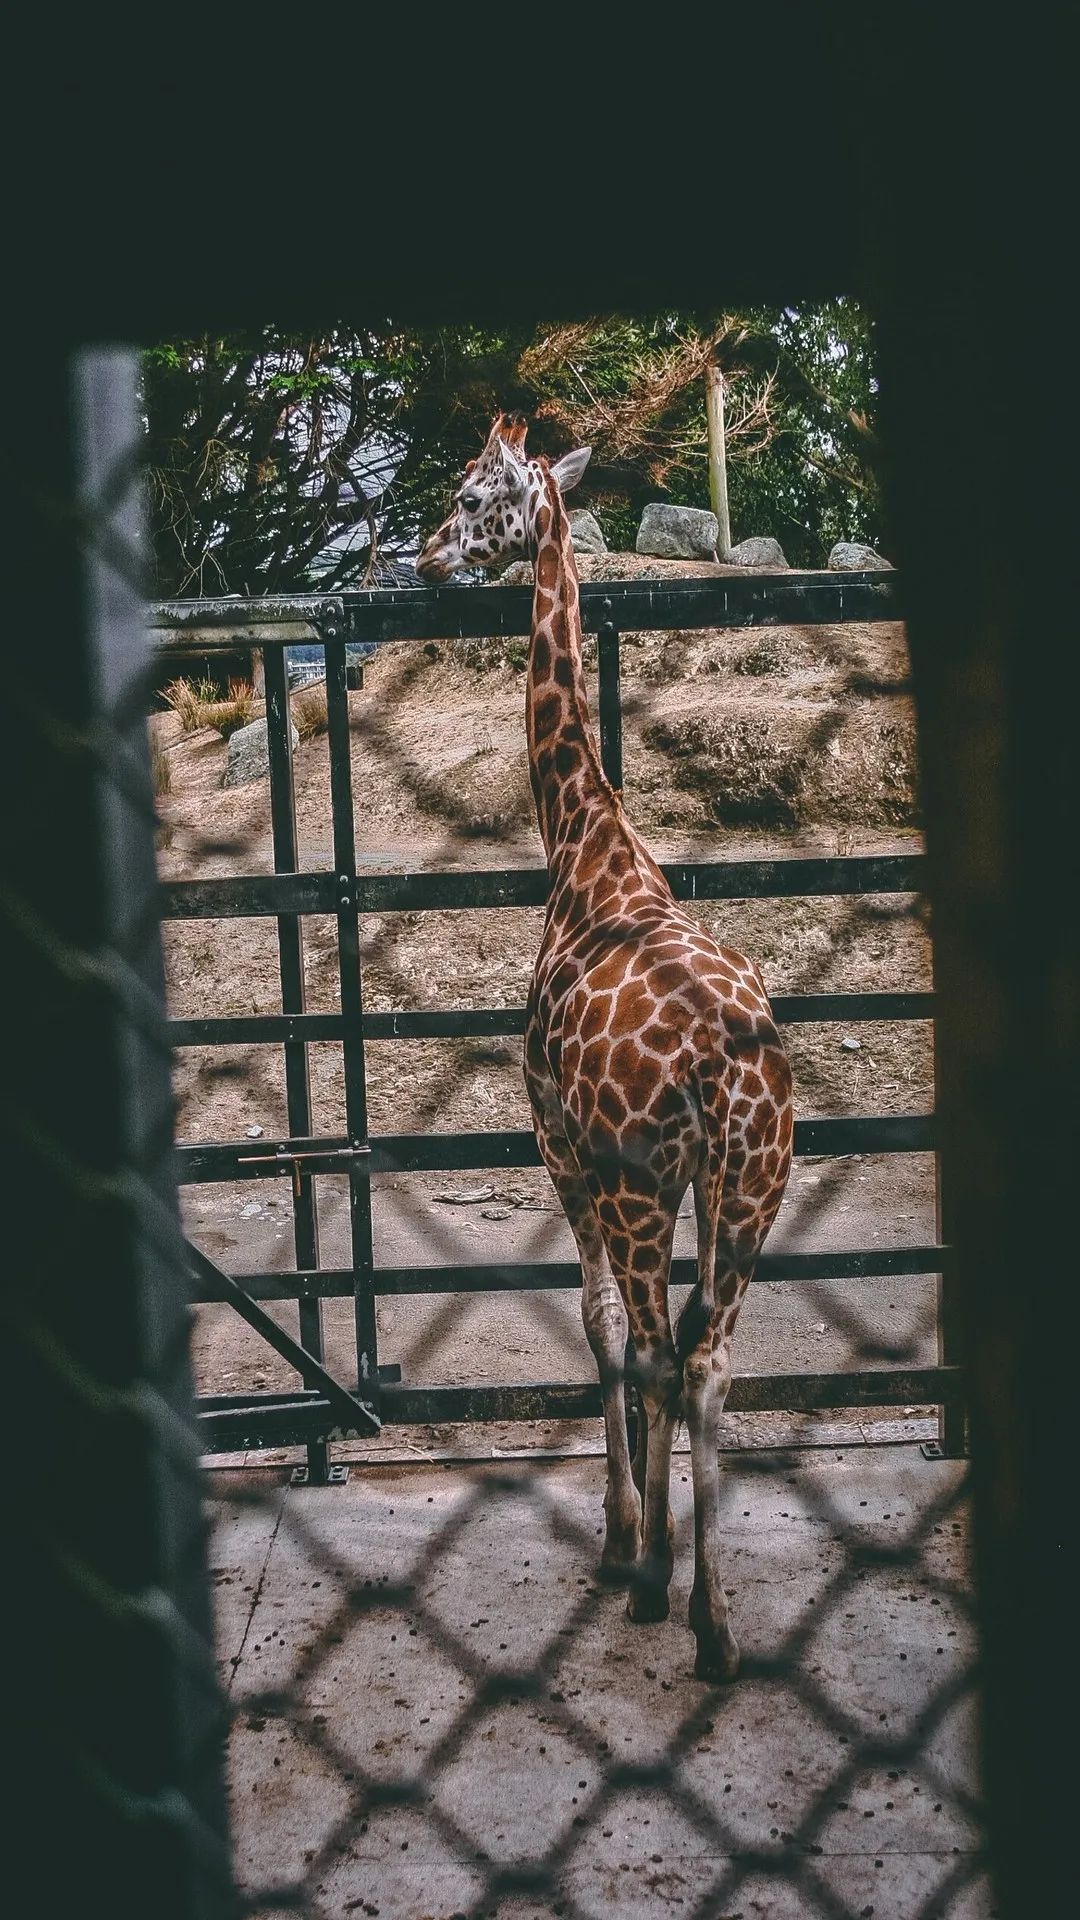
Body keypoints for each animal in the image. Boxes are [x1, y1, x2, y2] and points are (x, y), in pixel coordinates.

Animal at [417, 413, 794, 1680]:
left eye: (471, 493)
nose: (425, 556)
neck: (586, 853)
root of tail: (732, 1075)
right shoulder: (675, 1185)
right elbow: (649, 1346)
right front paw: (653, 1547)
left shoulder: (559, 1142)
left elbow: (599, 1328)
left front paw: (626, 1540)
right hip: (751, 1187)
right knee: (712, 1358)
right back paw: (715, 1623)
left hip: (638, 1187)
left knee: (665, 1348)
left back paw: (677, 1600)